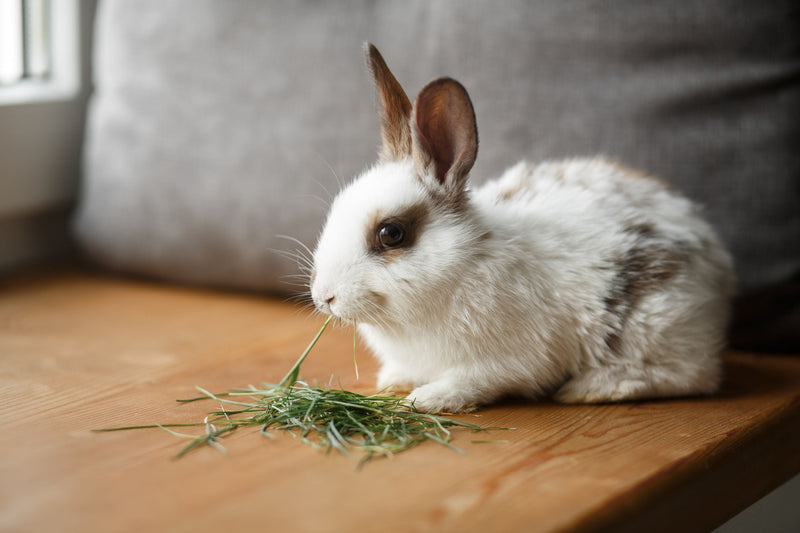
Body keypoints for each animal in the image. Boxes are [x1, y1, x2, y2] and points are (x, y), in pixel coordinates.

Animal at [309, 43, 736, 413]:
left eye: (391, 234)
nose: (323, 296)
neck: (463, 263)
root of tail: (713, 251)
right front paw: (393, 382)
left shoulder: (502, 363)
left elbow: (471, 382)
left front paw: (427, 400)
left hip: (653, 322)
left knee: (692, 375)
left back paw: (591, 388)